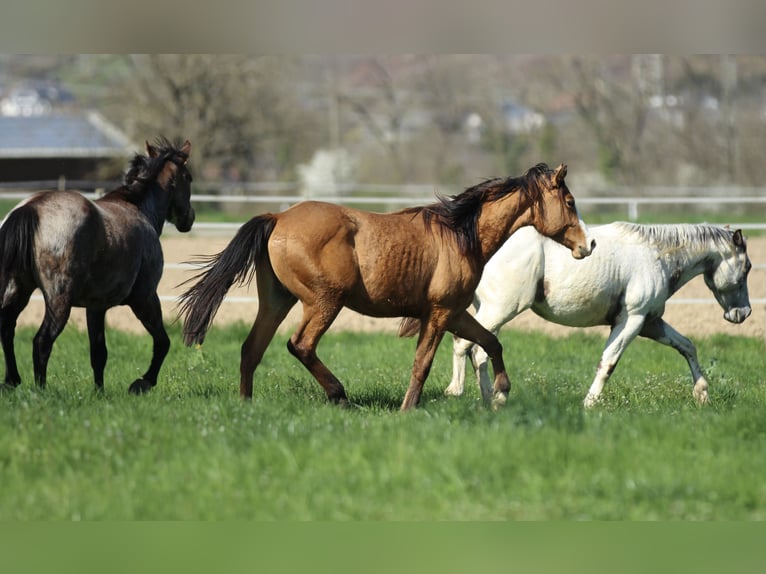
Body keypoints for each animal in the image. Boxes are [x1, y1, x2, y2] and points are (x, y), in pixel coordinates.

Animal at [0, 138, 194, 394]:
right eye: (188, 177)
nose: (189, 218)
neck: (138, 208)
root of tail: (30, 208)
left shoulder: (96, 307)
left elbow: (98, 353)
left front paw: (99, 392)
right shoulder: (145, 298)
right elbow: (163, 342)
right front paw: (142, 383)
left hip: (18, 289)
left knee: (7, 329)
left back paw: (11, 381)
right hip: (59, 300)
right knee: (42, 340)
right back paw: (40, 390)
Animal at [179, 162, 595, 411]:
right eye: (569, 200)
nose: (587, 245)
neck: (462, 236)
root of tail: (278, 217)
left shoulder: (454, 312)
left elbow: (491, 342)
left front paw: (501, 394)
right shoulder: (439, 313)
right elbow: (423, 362)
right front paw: (408, 409)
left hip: (276, 301)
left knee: (252, 348)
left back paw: (246, 407)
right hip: (324, 302)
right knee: (300, 345)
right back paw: (340, 396)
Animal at [445, 222, 752, 407]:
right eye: (747, 267)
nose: (743, 313)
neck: (657, 257)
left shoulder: (651, 323)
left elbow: (687, 346)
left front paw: (702, 393)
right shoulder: (632, 321)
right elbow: (608, 363)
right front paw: (590, 404)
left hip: (491, 313)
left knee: (479, 352)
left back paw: (490, 399)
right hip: (499, 311)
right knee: (468, 347)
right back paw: (464, 392)